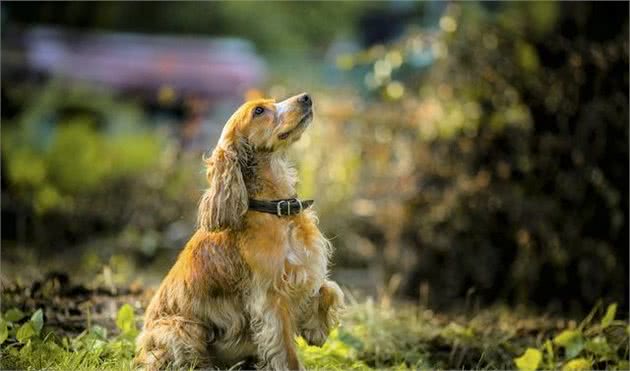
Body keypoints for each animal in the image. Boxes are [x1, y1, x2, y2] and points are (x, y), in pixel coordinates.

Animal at [136, 93, 348, 371]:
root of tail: (139, 348)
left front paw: (316, 330)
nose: (306, 97)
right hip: (182, 330)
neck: (278, 210)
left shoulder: (302, 273)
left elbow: (329, 288)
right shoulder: (271, 299)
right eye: (258, 111)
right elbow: (287, 351)